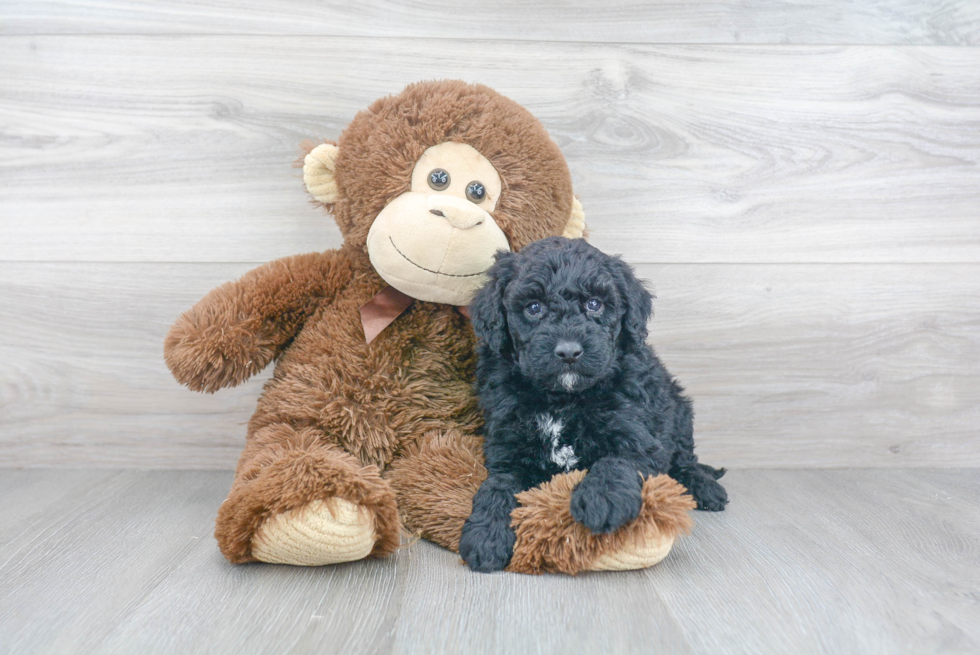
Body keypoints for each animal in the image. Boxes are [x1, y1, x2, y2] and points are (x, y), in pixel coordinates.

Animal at [462, 238, 728, 572]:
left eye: (594, 304)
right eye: (533, 308)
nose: (568, 352)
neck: (563, 398)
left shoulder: (635, 432)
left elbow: (616, 460)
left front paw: (602, 499)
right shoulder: (509, 443)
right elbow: (498, 484)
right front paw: (486, 533)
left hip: (678, 411)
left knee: (684, 461)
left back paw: (706, 488)